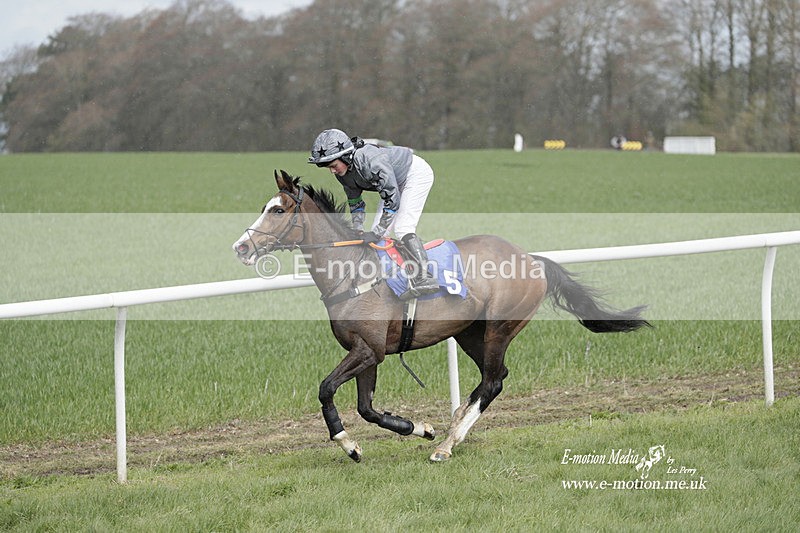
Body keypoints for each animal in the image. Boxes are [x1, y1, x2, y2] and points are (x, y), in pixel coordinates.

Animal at [233, 170, 650, 462]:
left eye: (278, 209)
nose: (241, 247)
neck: (352, 271)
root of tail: (533, 259)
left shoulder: (367, 350)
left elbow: (326, 389)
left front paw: (348, 445)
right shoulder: (367, 351)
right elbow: (367, 409)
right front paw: (417, 428)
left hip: (499, 328)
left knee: (493, 381)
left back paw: (449, 443)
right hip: (469, 333)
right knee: (493, 378)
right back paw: (452, 425)